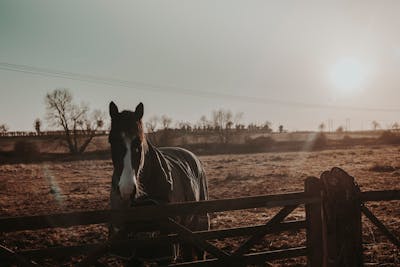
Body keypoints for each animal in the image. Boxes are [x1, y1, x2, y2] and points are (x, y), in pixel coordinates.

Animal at [108, 102, 209, 264]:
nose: (126, 189)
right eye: (111, 141)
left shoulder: (164, 252)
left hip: (198, 226)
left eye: (139, 143)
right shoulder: (131, 255)